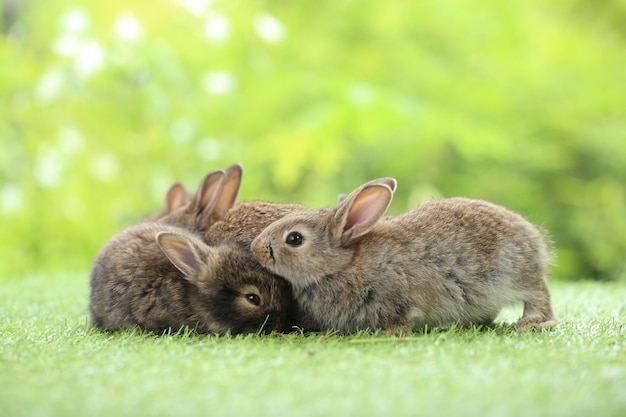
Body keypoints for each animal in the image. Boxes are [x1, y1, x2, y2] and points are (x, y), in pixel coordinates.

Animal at [249, 177, 556, 334]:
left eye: (295, 239)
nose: (255, 247)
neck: (340, 266)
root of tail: (535, 240)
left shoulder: (393, 298)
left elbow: (400, 321)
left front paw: (388, 336)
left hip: (514, 274)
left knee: (539, 293)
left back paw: (532, 323)